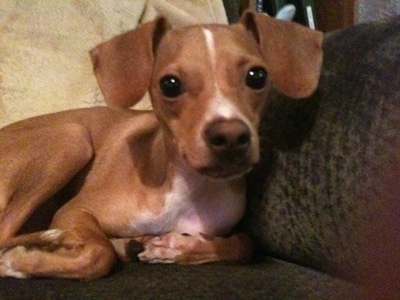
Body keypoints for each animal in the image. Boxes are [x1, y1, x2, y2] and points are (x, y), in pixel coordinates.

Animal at [0, 11, 320, 278]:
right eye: (170, 84)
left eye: (257, 76)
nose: (230, 137)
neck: (188, 188)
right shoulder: (73, 211)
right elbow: (98, 254)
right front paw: (21, 262)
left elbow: (244, 244)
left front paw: (179, 248)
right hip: (73, 137)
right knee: (6, 231)